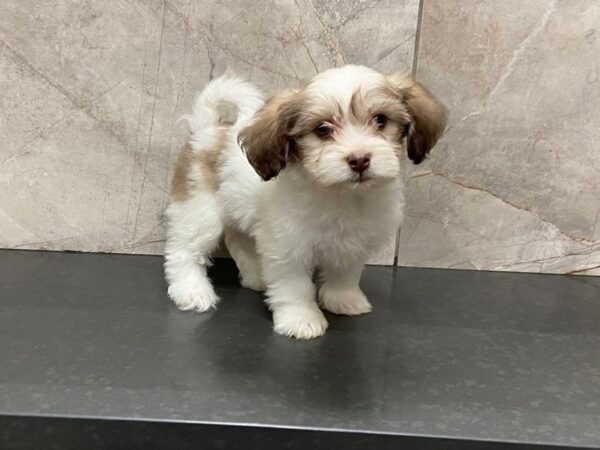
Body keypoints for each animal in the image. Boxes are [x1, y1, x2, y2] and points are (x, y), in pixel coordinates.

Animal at [164, 65, 446, 340]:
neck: (342, 195)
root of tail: (207, 129)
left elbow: (345, 275)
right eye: (322, 129)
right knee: (183, 252)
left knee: (239, 241)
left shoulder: (353, 244)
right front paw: (300, 320)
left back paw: (257, 278)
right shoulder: (288, 248)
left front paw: (344, 300)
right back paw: (191, 291)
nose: (359, 160)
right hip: (200, 212)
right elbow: (294, 287)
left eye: (381, 120)